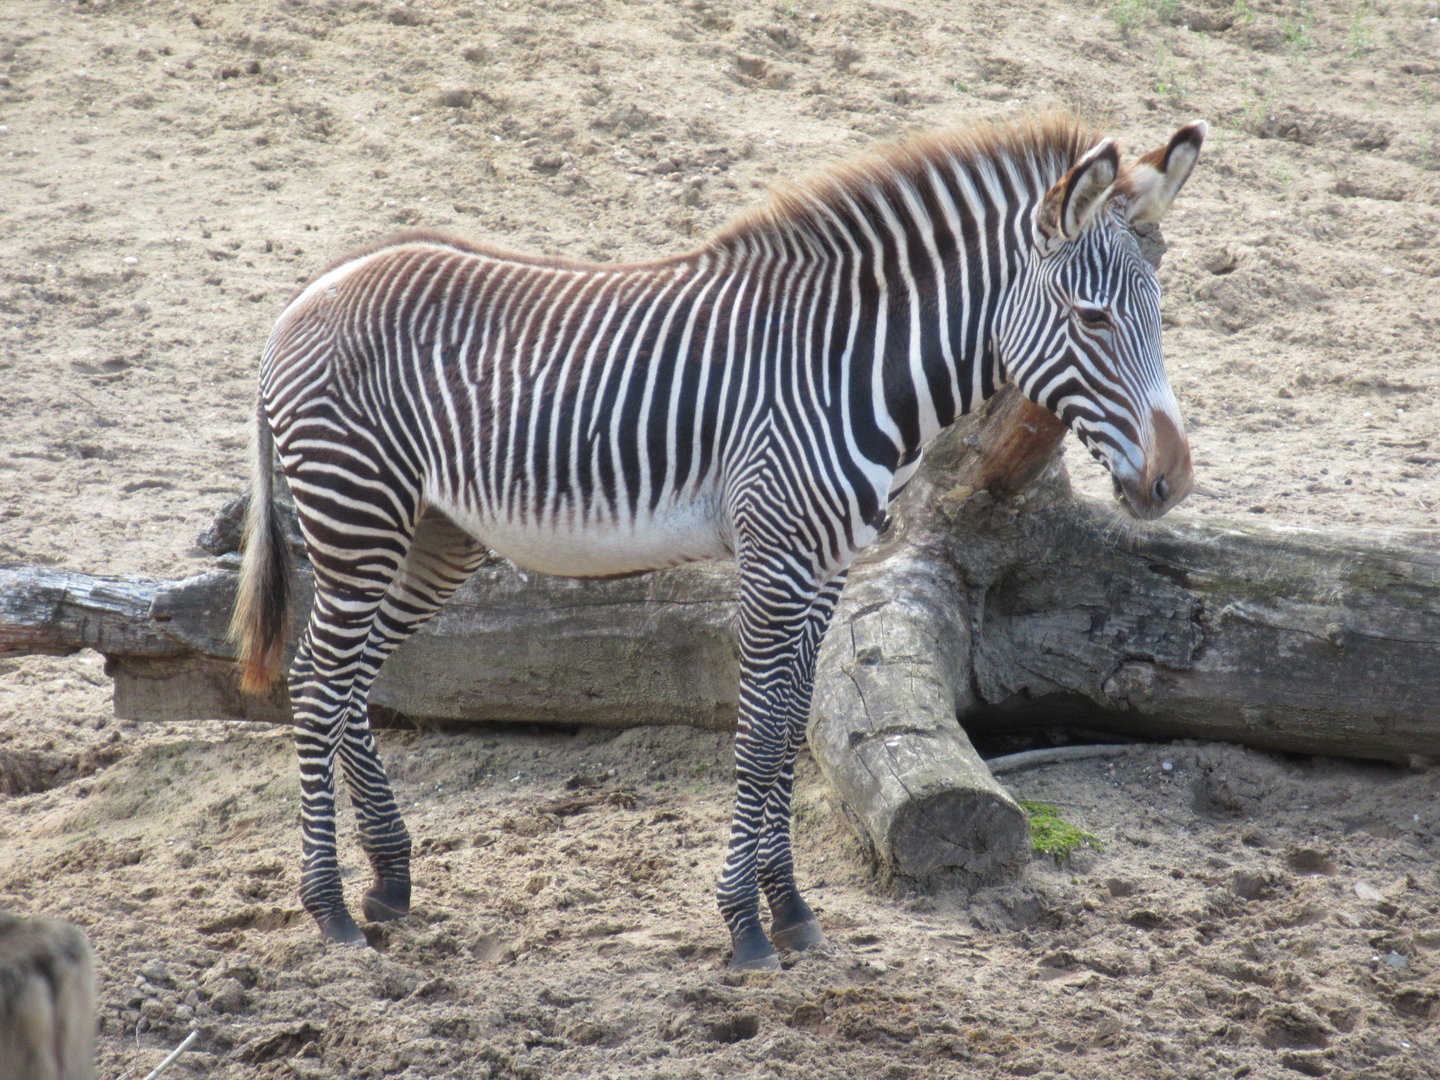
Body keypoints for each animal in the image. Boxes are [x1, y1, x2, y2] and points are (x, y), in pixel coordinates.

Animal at [231, 113, 1206, 971]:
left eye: (1161, 313)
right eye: (1091, 319)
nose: (1172, 483)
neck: (844, 368)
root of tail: (312, 289)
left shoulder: (823, 571)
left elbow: (787, 728)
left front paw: (793, 913)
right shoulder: (776, 563)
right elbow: (760, 731)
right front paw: (744, 925)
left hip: (434, 535)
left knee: (345, 680)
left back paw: (389, 881)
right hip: (358, 513)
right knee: (318, 683)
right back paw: (329, 910)